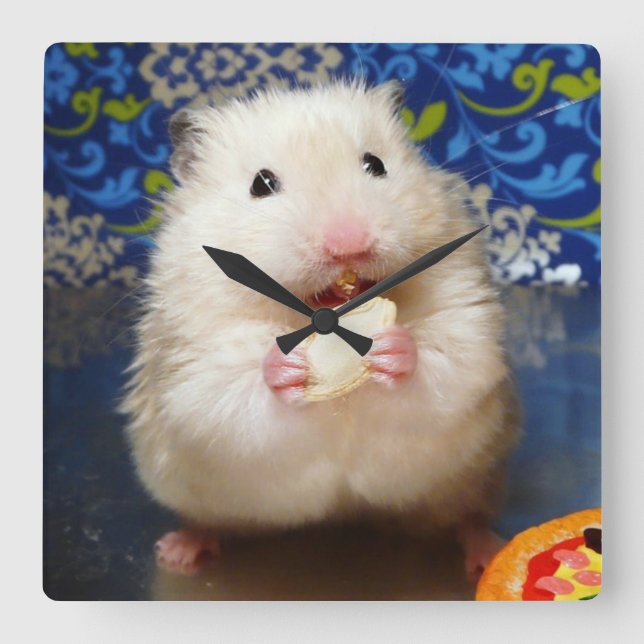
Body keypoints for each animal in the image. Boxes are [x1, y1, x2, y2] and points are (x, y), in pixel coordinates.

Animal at [121, 79, 520, 578]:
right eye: (261, 184)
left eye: (375, 164)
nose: (349, 244)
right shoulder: (190, 361)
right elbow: (228, 390)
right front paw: (286, 367)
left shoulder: (466, 317)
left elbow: (449, 361)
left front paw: (392, 349)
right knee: (208, 521)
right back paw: (178, 552)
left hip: (472, 480)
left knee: (465, 518)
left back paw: (487, 552)